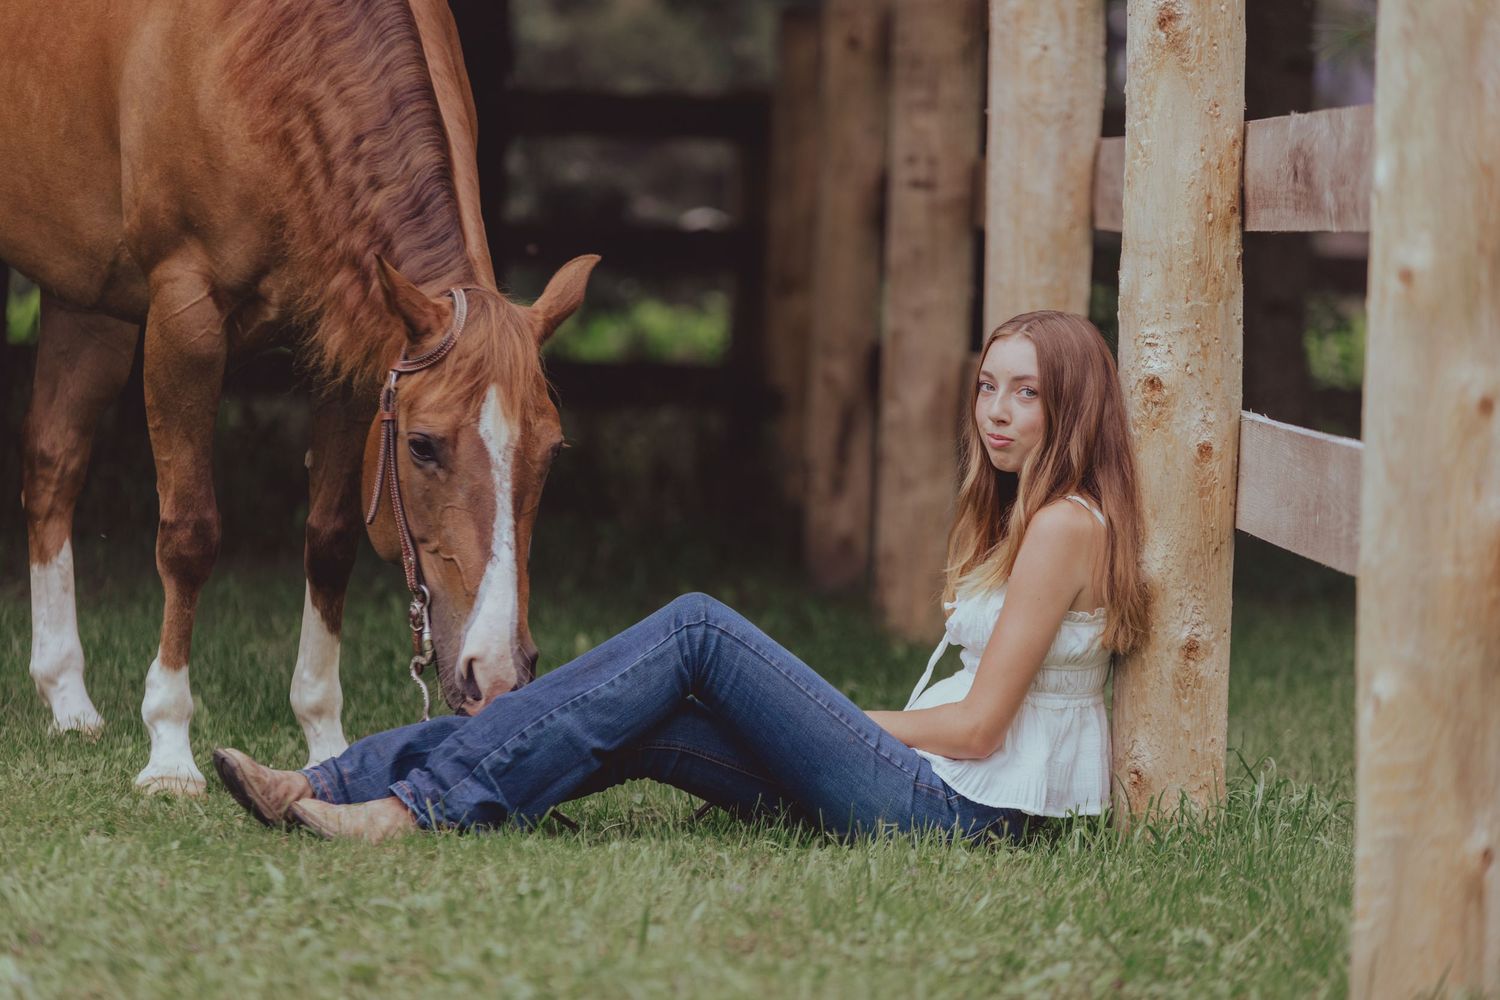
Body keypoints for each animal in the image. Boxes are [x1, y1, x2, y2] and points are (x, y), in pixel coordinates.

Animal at [0, 0, 595, 794]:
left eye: (552, 452)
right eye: (422, 445)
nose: (497, 675)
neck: (260, 60)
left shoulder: (347, 351)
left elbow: (331, 540)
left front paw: (323, 737)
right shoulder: (185, 320)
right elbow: (188, 535)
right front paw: (169, 749)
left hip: (87, 298)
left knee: (52, 463)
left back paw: (67, 698)